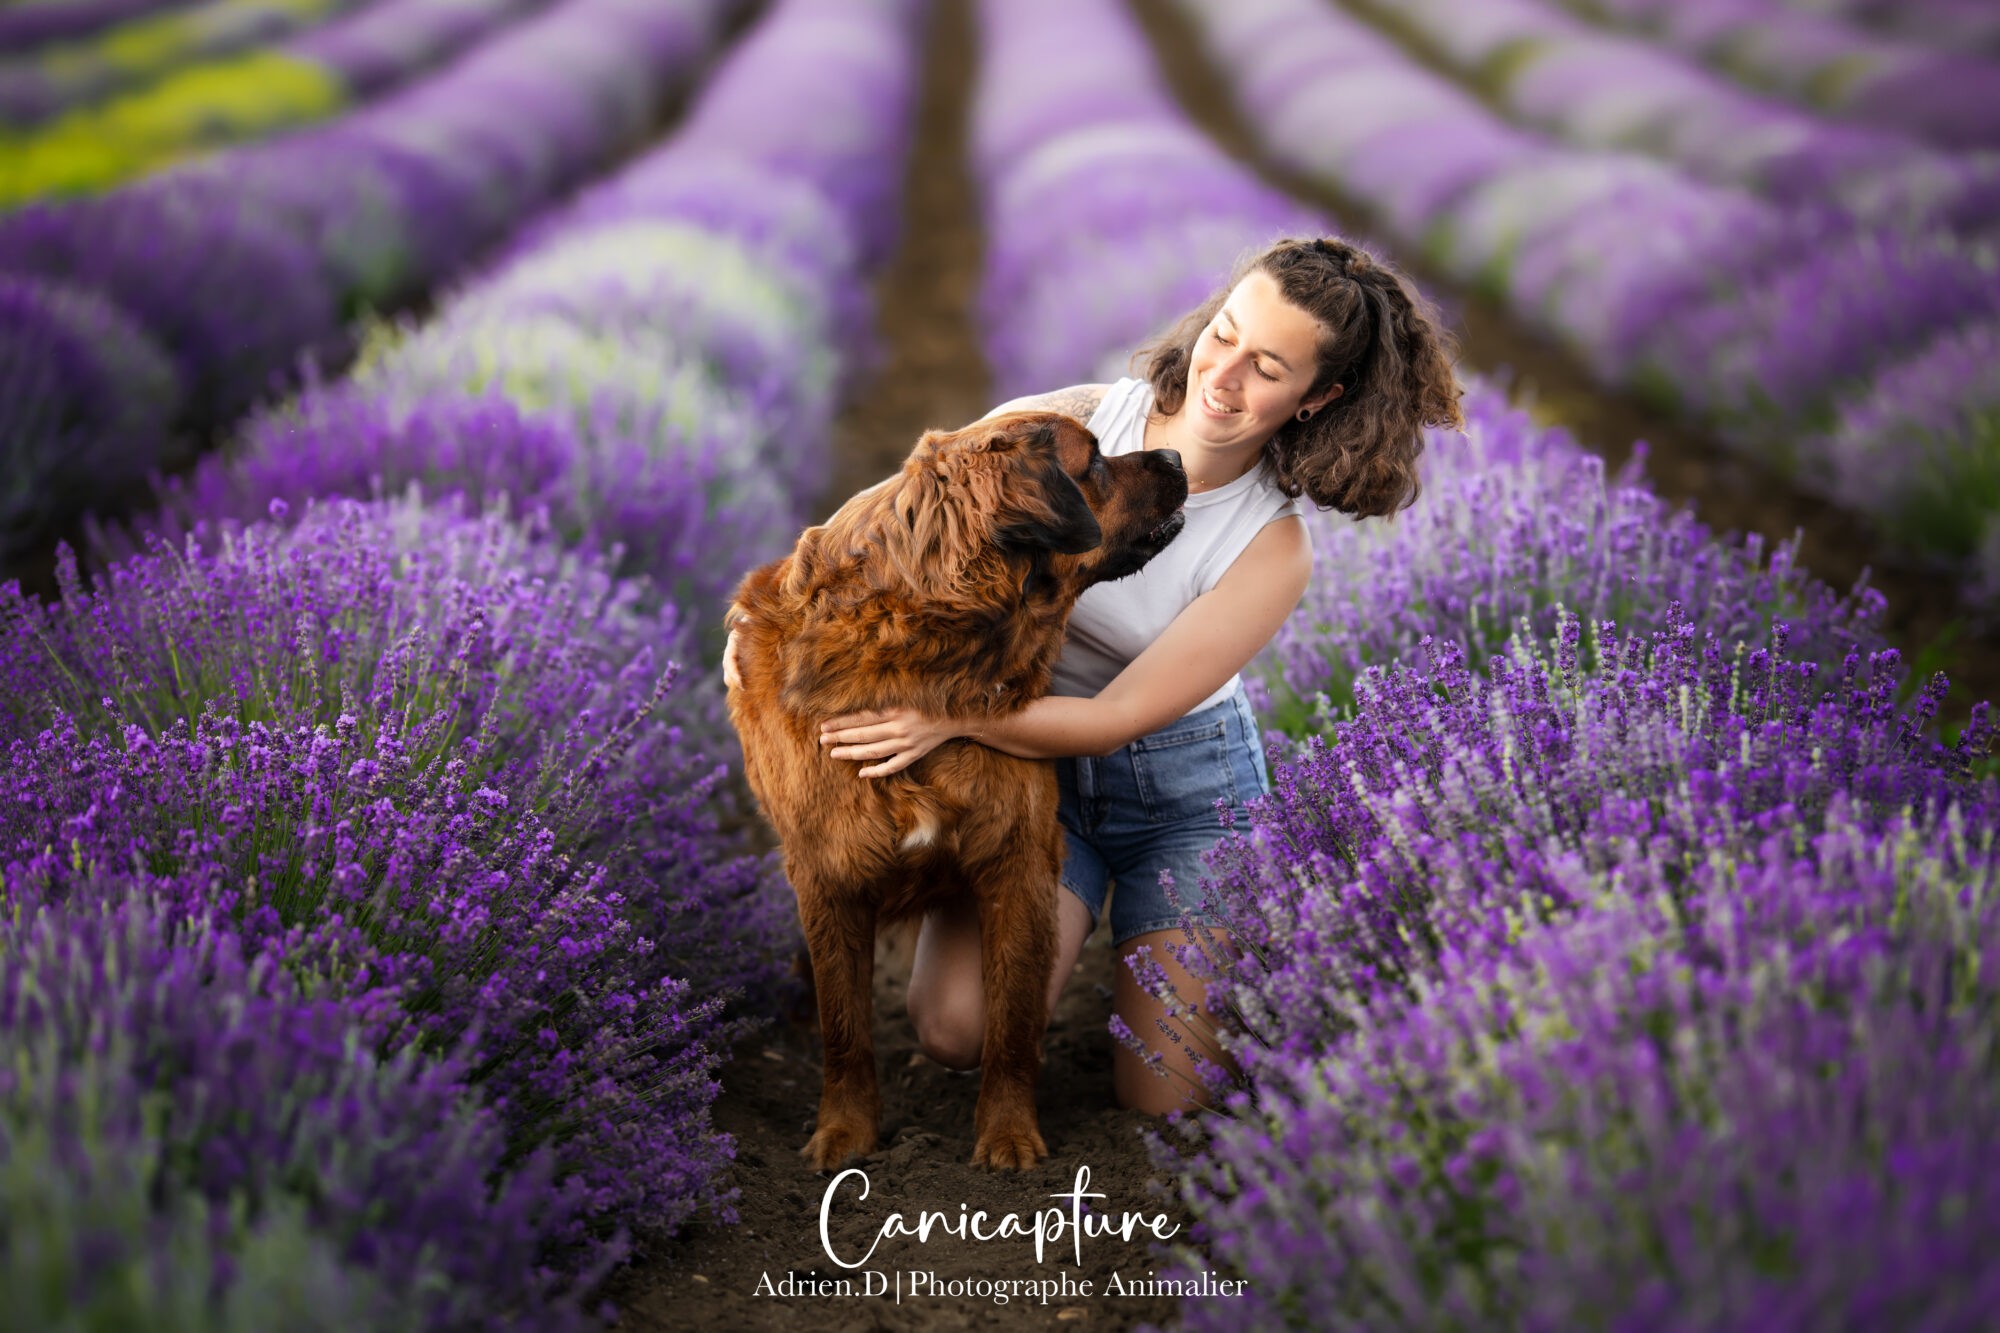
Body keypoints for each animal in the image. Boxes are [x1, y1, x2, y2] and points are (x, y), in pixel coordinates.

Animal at [724, 410, 1176, 1168]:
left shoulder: (1019, 864)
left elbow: (1011, 1023)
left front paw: (1009, 1134)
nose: (1175, 456)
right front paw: (843, 1133)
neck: (924, 653)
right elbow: (845, 1026)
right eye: (1095, 463)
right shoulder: (829, 873)